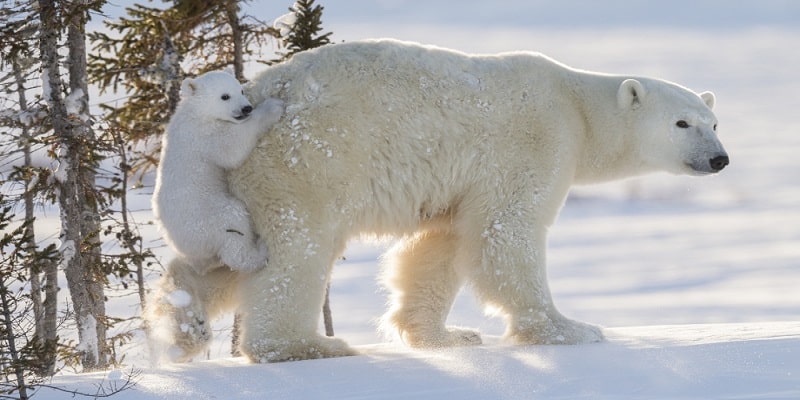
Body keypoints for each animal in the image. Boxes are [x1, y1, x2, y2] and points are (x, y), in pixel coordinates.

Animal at [172, 38, 728, 362]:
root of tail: (256, 91)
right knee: (296, 252)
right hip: (305, 162)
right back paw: (303, 345)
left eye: (714, 122)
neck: (576, 105)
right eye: (682, 123)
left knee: (228, 253)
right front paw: (572, 329)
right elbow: (506, 232)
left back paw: (183, 313)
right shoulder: (535, 141)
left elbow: (440, 245)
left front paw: (447, 335)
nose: (719, 159)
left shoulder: (458, 184)